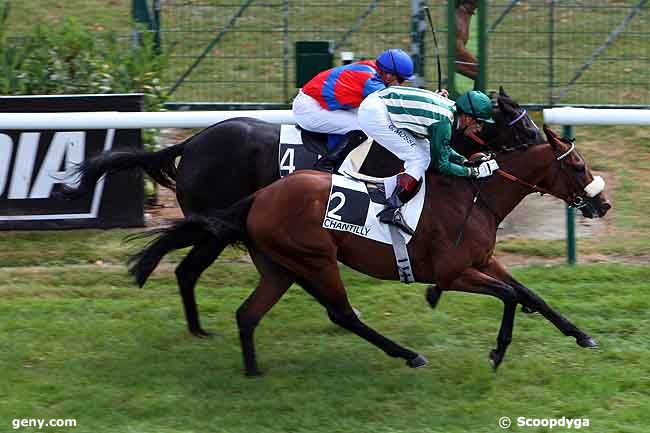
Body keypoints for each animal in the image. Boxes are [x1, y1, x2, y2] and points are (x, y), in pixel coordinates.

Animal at [60, 88, 540, 338]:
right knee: (185, 263)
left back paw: (196, 325)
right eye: (518, 119)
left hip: (217, 226)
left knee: (186, 267)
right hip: (216, 226)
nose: (540, 139)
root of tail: (191, 142)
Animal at [130, 125, 608, 374]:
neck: (475, 195)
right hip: (316, 259)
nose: (602, 203)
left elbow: (531, 294)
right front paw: (497, 351)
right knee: (340, 314)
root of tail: (260, 198)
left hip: (281, 267)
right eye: (578, 166)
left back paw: (252, 370)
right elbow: (509, 296)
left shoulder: (484, 261)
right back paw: (408, 354)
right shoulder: (456, 272)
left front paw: (582, 335)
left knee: (247, 314)